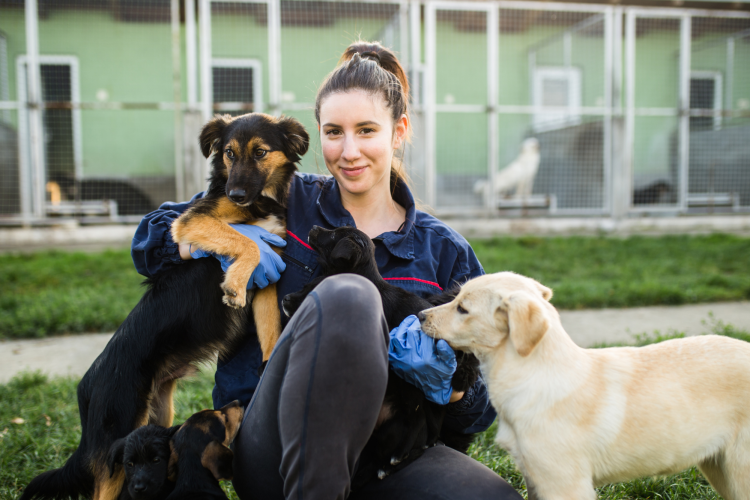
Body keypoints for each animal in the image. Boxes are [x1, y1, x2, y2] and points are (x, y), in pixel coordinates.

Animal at [21, 113, 308, 500]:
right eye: (229, 153)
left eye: (261, 152)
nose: (235, 194)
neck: (259, 203)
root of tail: (86, 390)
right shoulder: (193, 222)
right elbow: (245, 240)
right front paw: (233, 285)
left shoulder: (268, 275)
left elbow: (270, 327)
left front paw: (270, 360)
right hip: (118, 440)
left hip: (158, 423)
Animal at [420, 274, 750, 500]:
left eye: (462, 309)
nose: (420, 315)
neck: (534, 374)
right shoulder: (536, 479)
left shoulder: (566, 486)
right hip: (718, 468)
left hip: (739, 470)